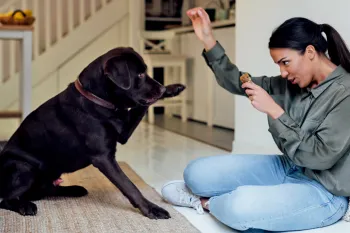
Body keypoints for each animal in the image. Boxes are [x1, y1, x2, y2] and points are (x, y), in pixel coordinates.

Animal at [0, 47, 186, 218]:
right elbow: (129, 186)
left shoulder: (123, 132)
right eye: (139, 75)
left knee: (47, 190)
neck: (97, 100)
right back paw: (25, 206)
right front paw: (151, 209)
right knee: (7, 199)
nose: (161, 89)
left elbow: (141, 107)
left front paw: (172, 88)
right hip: (23, 167)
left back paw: (74, 189)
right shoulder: (103, 158)